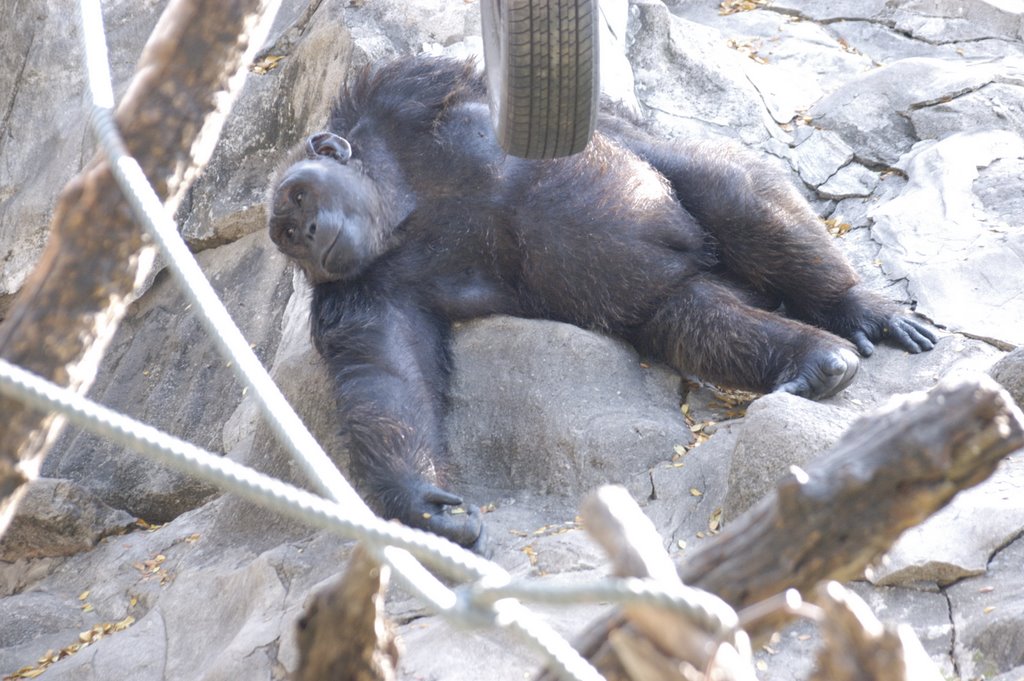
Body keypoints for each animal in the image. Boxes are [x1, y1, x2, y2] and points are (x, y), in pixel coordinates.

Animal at [266, 55, 937, 548]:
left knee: (720, 185)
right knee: (694, 320)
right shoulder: (360, 294)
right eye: (285, 229)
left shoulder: (408, 93)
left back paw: (853, 305)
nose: (303, 232)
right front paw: (426, 506)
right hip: (667, 295)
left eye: (297, 199)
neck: (400, 202)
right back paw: (814, 361)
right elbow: (388, 373)